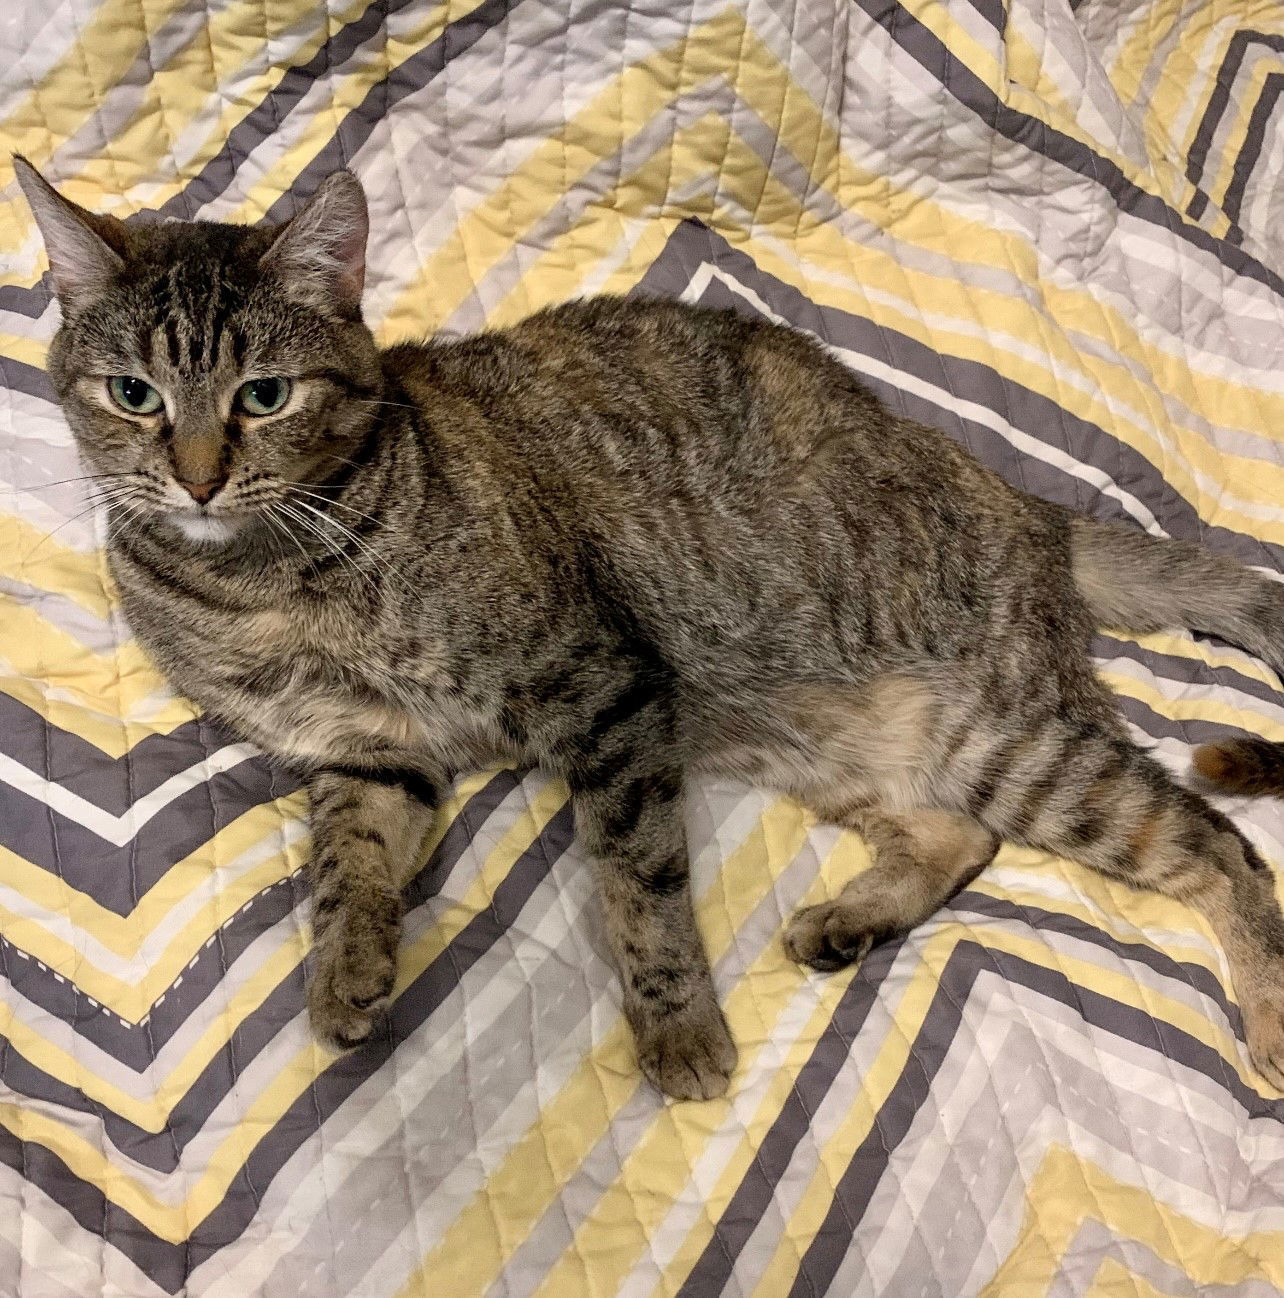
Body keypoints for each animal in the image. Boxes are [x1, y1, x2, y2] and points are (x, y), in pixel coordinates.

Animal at [15, 157, 1282, 1100]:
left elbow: (640, 882)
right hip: (846, 749)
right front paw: (348, 970)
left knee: (1220, 846)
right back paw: (850, 921)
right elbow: (345, 868)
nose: (195, 477)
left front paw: (675, 1027)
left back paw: (1265, 1011)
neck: (265, 587)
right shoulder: (369, 754)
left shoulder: (600, 687)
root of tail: (1032, 506)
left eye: (265, 395)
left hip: (1008, 740)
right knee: (958, 837)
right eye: (133, 394)